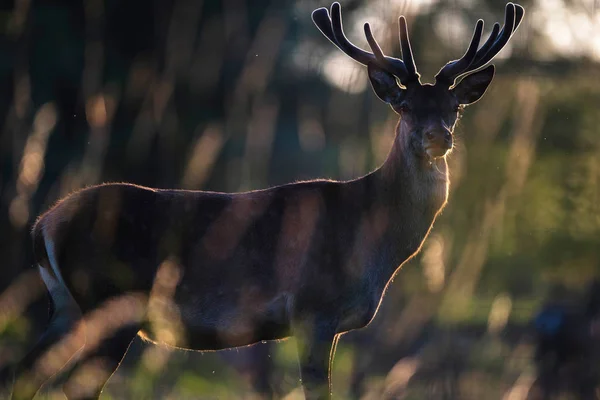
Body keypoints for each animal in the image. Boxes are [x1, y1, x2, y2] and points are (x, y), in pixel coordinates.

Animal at [8, 3, 524, 400]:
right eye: (405, 107)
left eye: (454, 108)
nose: (438, 137)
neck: (372, 237)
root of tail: (43, 224)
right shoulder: (313, 309)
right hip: (108, 300)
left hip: (67, 306)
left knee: (23, 375)